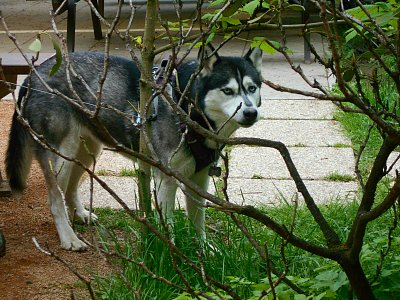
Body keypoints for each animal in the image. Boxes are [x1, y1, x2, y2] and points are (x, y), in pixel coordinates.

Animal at [7, 48, 262, 251]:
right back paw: (68, 237)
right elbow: (168, 224)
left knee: (70, 187)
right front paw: (173, 254)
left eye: (252, 88)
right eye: (227, 91)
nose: (251, 113)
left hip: (87, 150)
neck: (184, 104)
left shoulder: (199, 179)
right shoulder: (166, 179)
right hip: (62, 155)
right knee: (55, 199)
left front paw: (204, 251)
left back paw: (80, 214)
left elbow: (198, 222)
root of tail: (32, 76)